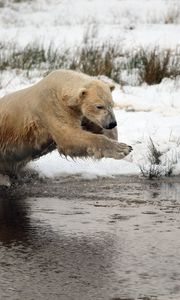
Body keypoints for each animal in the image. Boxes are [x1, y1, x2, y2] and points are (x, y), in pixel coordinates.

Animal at [0, 70, 132, 182]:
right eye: (99, 106)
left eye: (111, 104)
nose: (112, 123)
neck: (59, 88)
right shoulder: (51, 108)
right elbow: (68, 137)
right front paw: (123, 149)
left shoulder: (79, 113)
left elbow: (93, 127)